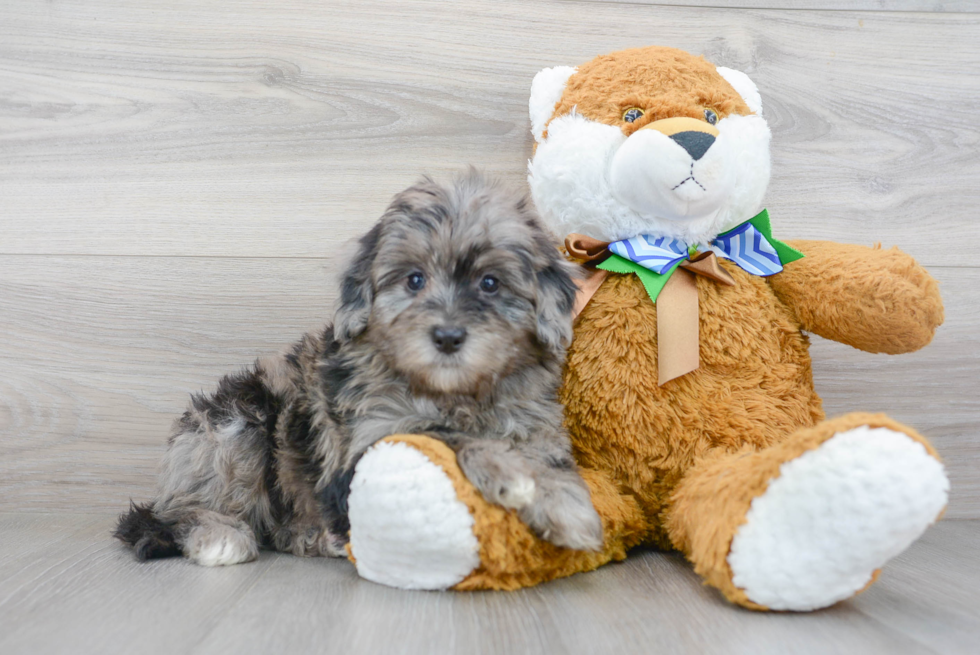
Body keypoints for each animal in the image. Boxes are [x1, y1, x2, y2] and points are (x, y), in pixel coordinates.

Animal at [117, 172, 604, 568]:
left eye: (490, 283)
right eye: (414, 280)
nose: (447, 337)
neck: (454, 393)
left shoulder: (537, 427)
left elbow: (548, 461)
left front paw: (563, 503)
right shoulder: (367, 441)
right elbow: (442, 433)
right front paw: (511, 473)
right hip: (235, 427)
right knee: (175, 510)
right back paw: (219, 535)